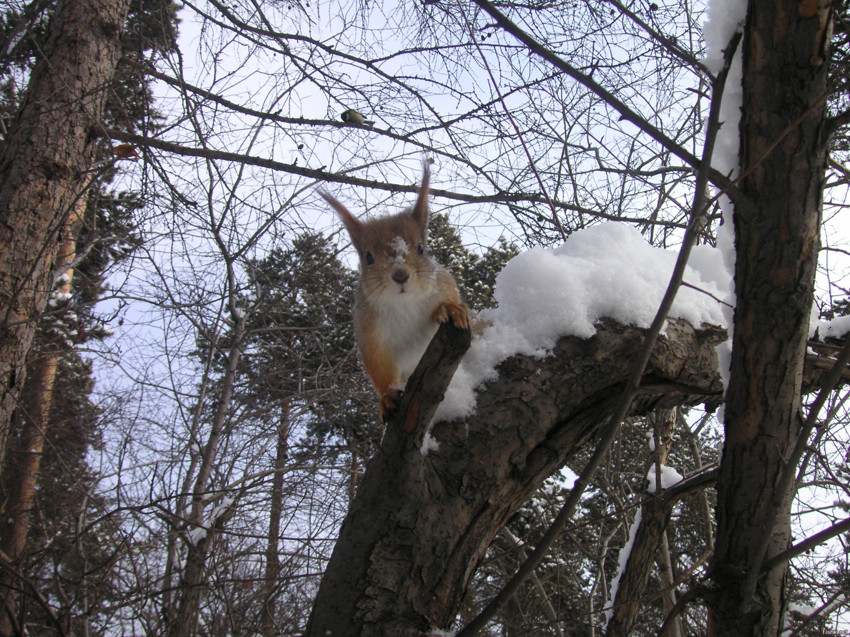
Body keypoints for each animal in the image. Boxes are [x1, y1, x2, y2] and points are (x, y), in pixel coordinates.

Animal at [320, 164, 470, 420]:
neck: (405, 302)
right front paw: (388, 395)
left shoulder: (442, 283)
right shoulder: (369, 330)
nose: (400, 275)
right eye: (368, 257)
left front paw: (451, 308)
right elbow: (378, 363)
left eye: (420, 248)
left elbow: (449, 299)